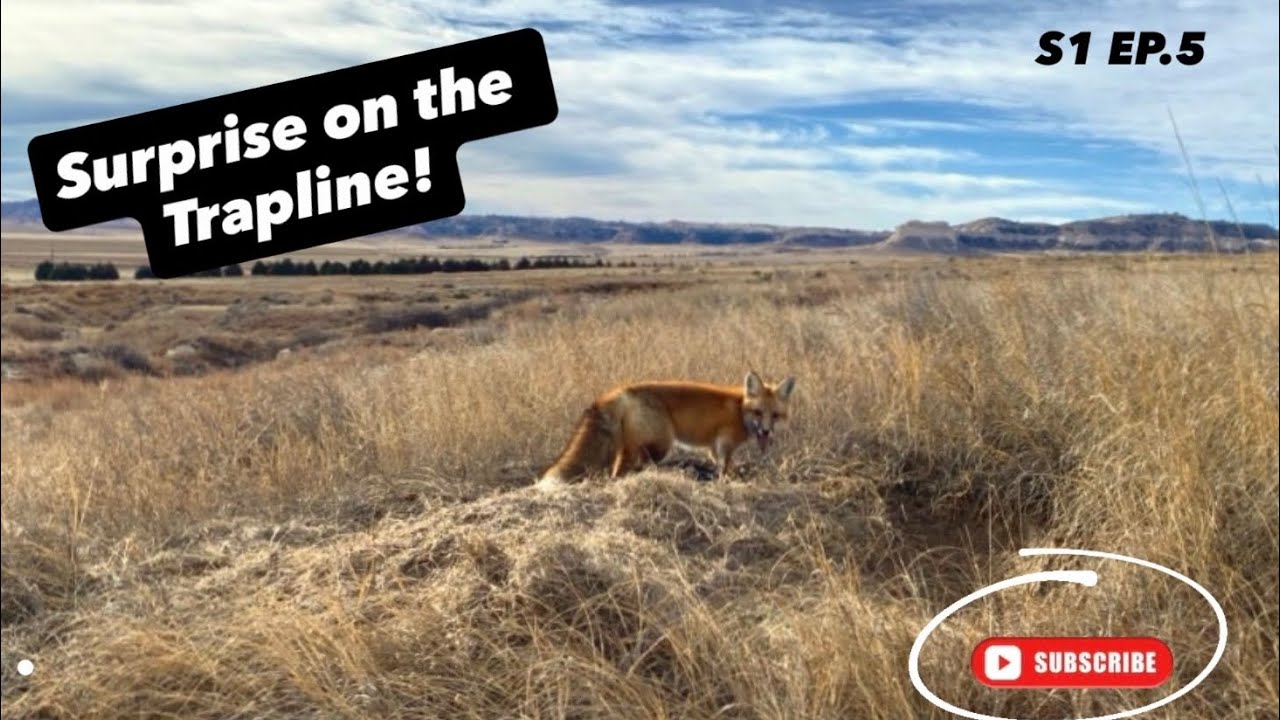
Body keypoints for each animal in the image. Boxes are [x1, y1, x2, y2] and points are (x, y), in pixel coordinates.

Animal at [538, 370, 797, 485]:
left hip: (633, 447)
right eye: (758, 413)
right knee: (622, 471)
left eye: (775, 416)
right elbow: (725, 466)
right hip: (659, 445)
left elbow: (721, 464)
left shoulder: (713, 447)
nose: (766, 432)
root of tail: (621, 391)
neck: (739, 409)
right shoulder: (725, 443)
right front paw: (727, 481)